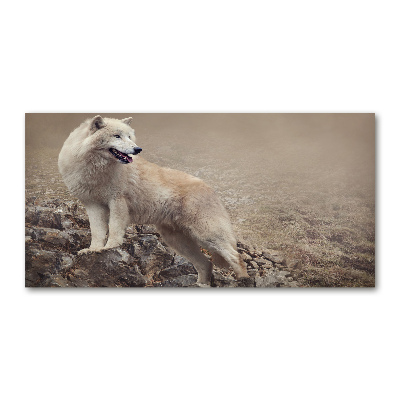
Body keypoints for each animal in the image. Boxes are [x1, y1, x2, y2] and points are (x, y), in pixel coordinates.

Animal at [57, 115, 248, 288]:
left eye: (129, 136)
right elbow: (97, 232)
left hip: (206, 235)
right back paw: (201, 285)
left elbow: (114, 231)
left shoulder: (117, 202)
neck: (96, 170)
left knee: (236, 257)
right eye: (117, 136)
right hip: (178, 241)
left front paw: (109, 248)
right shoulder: (93, 205)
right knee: (206, 263)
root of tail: (210, 188)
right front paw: (93, 250)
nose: (137, 149)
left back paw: (243, 280)